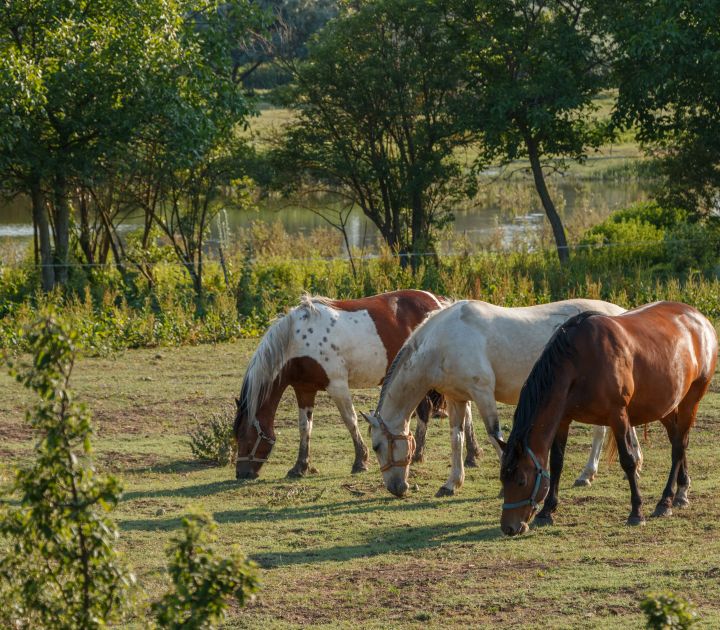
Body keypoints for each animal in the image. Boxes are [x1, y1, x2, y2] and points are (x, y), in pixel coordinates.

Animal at [233, 290, 480, 478]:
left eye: (246, 438)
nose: (242, 474)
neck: (297, 340)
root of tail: (441, 302)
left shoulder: (337, 386)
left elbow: (350, 420)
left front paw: (360, 461)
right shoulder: (304, 390)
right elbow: (305, 427)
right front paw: (300, 466)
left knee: (465, 410)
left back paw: (471, 455)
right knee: (426, 411)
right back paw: (418, 453)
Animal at [360, 298, 640, 502]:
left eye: (377, 446)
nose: (396, 488)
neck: (442, 342)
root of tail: (621, 314)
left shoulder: (483, 393)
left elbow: (495, 436)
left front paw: (506, 486)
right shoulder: (456, 398)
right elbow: (456, 439)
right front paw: (451, 484)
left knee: (600, 431)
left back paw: (590, 473)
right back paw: (629, 463)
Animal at [498, 302, 716, 540]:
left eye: (521, 480)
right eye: (502, 480)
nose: (509, 527)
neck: (579, 362)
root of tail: (699, 318)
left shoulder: (618, 416)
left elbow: (628, 461)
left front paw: (636, 512)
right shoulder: (563, 419)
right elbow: (556, 463)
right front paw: (547, 511)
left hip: (691, 399)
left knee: (678, 446)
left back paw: (665, 501)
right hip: (665, 405)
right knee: (678, 440)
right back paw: (681, 491)